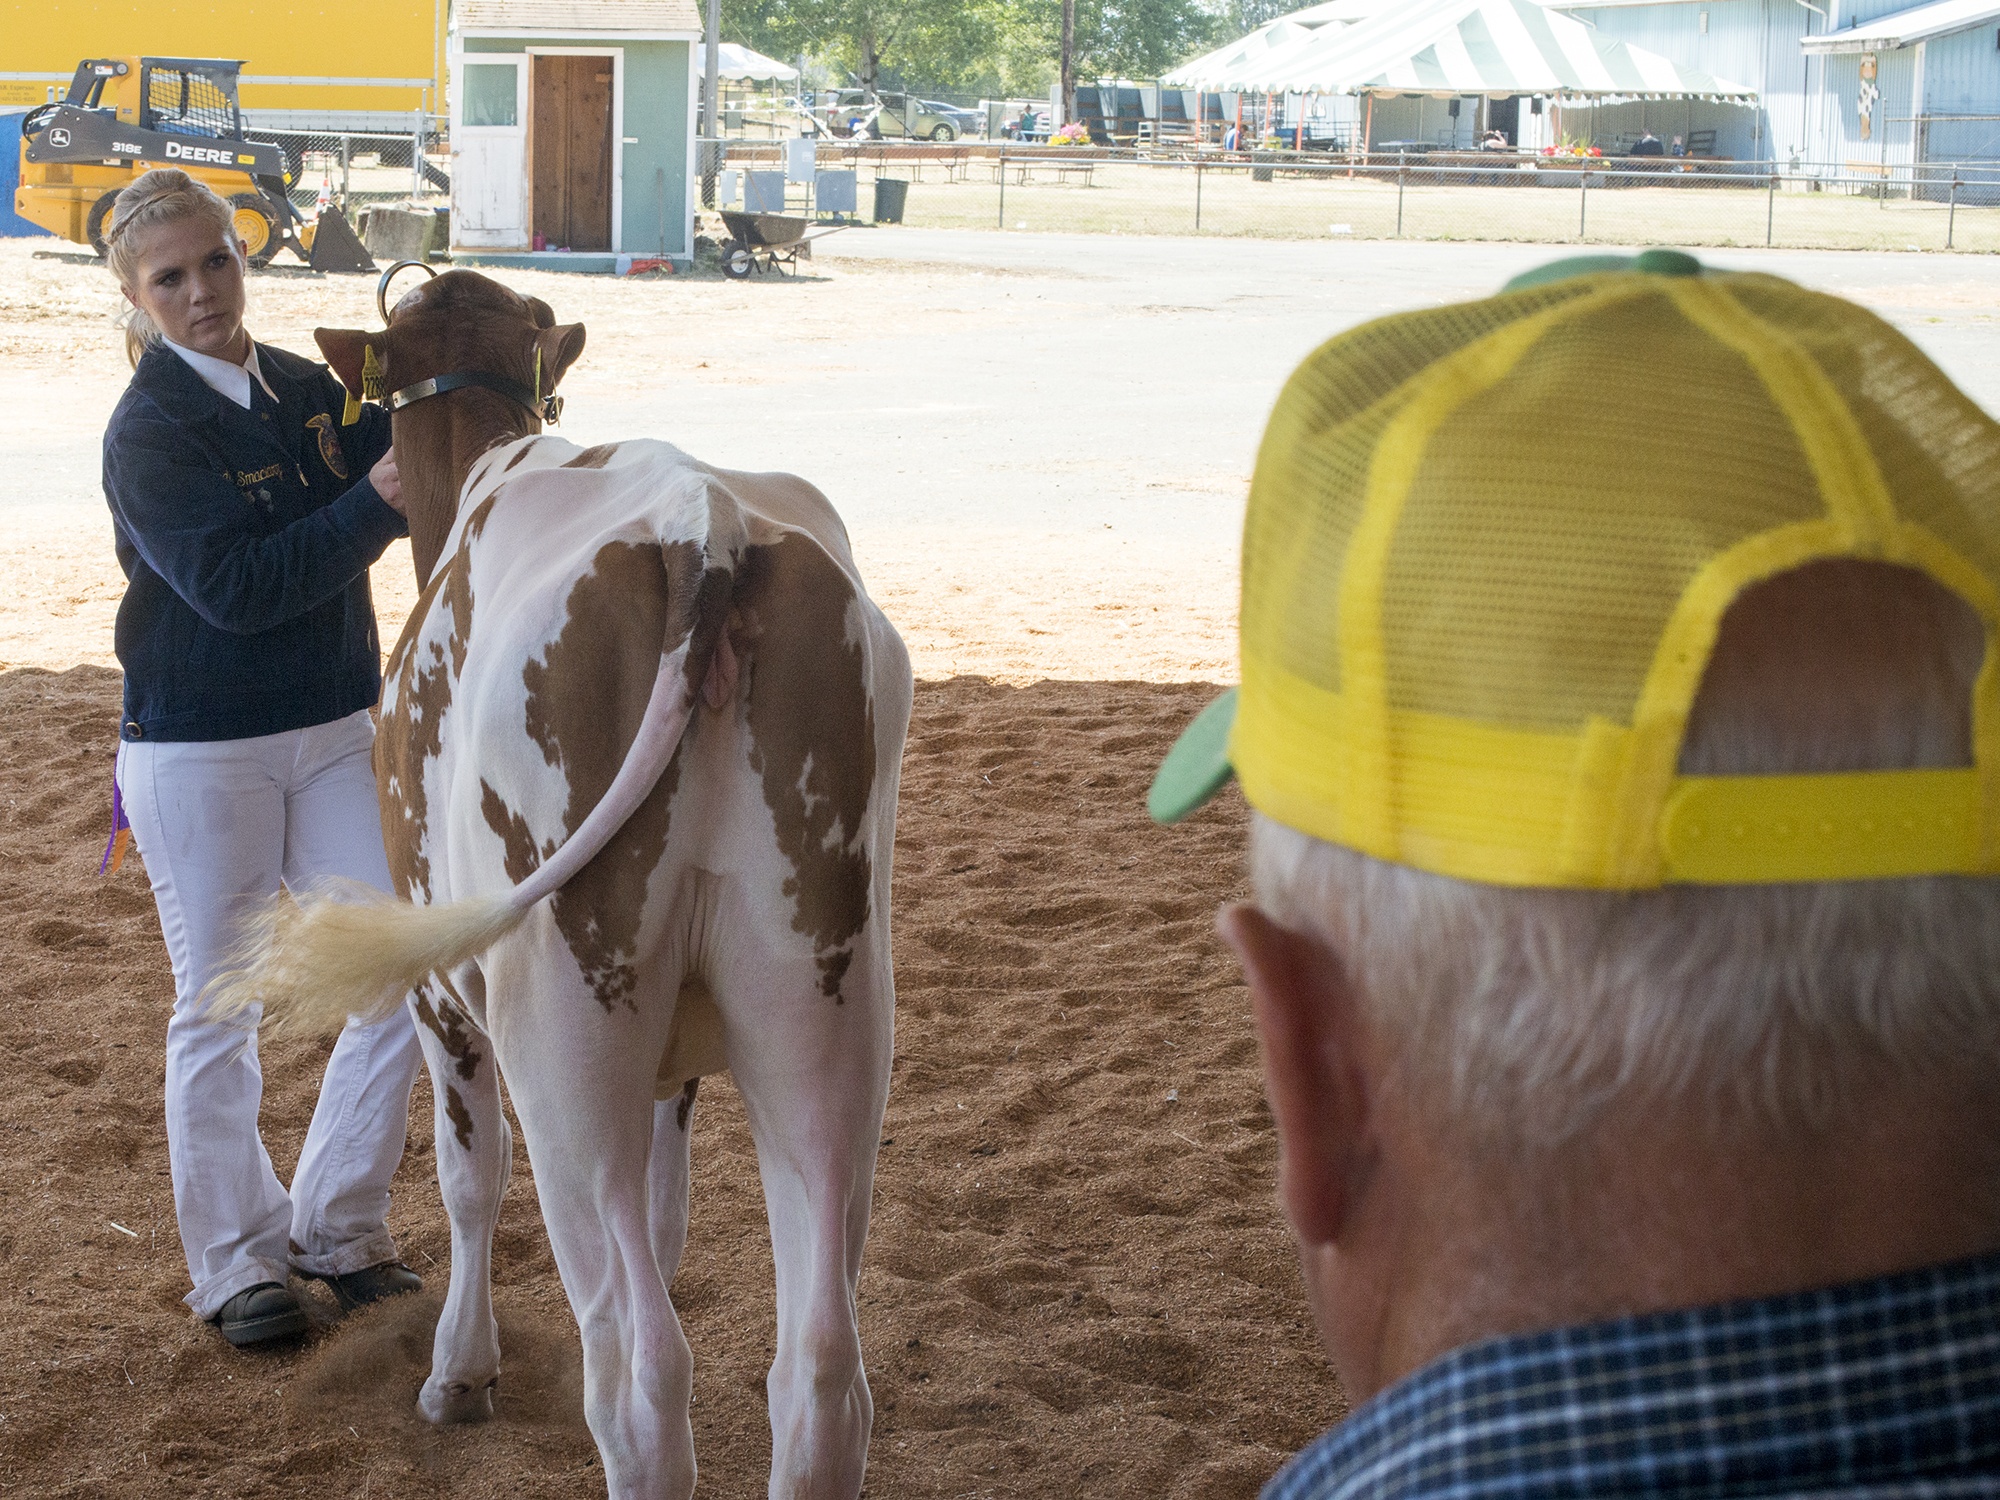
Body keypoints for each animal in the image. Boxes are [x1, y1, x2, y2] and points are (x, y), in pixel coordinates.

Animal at [213, 274, 916, 1500]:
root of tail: (705, 532)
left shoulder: (442, 995)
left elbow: (468, 1178)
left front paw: (458, 1373)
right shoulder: (681, 1054)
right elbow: (670, 1212)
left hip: (562, 1027)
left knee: (636, 1368)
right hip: (825, 999)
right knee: (821, 1370)